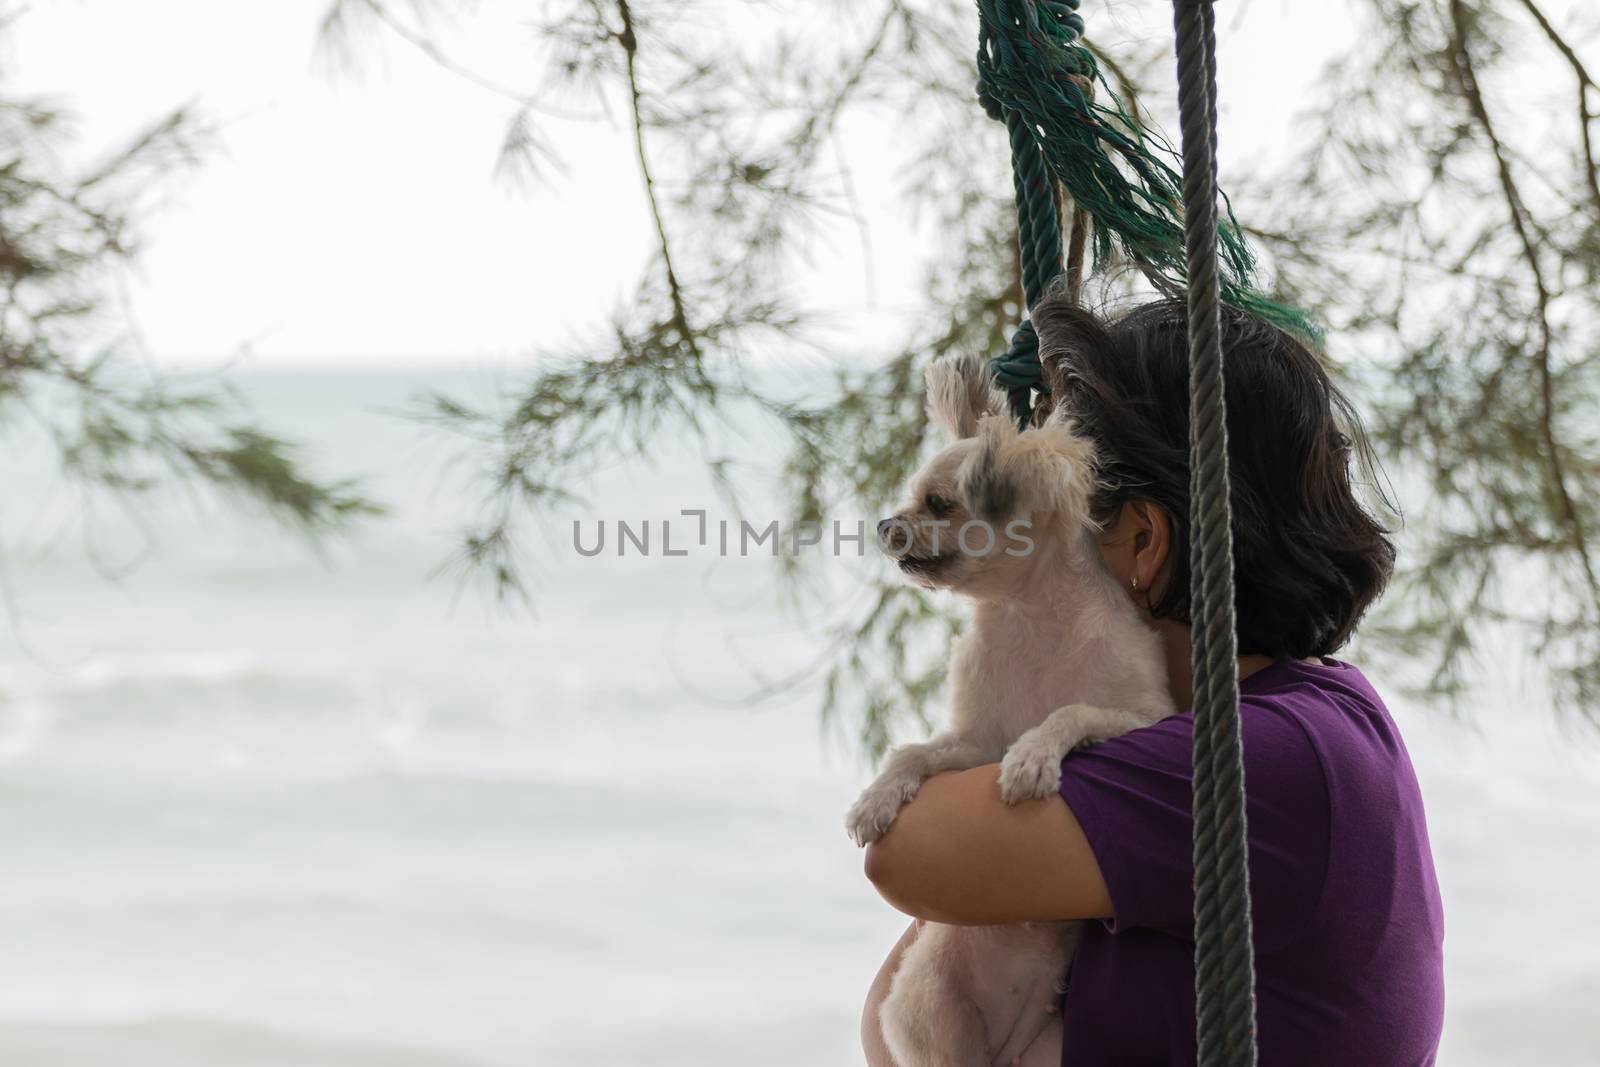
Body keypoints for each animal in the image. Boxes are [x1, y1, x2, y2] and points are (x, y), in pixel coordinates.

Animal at [844, 351, 1171, 1067]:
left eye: (939, 504)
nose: (883, 525)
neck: (1032, 618)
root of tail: (1004, 1049)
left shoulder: (1147, 717)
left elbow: (1068, 714)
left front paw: (1033, 761)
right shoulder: (975, 742)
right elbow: (915, 750)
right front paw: (876, 800)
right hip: (942, 1022)